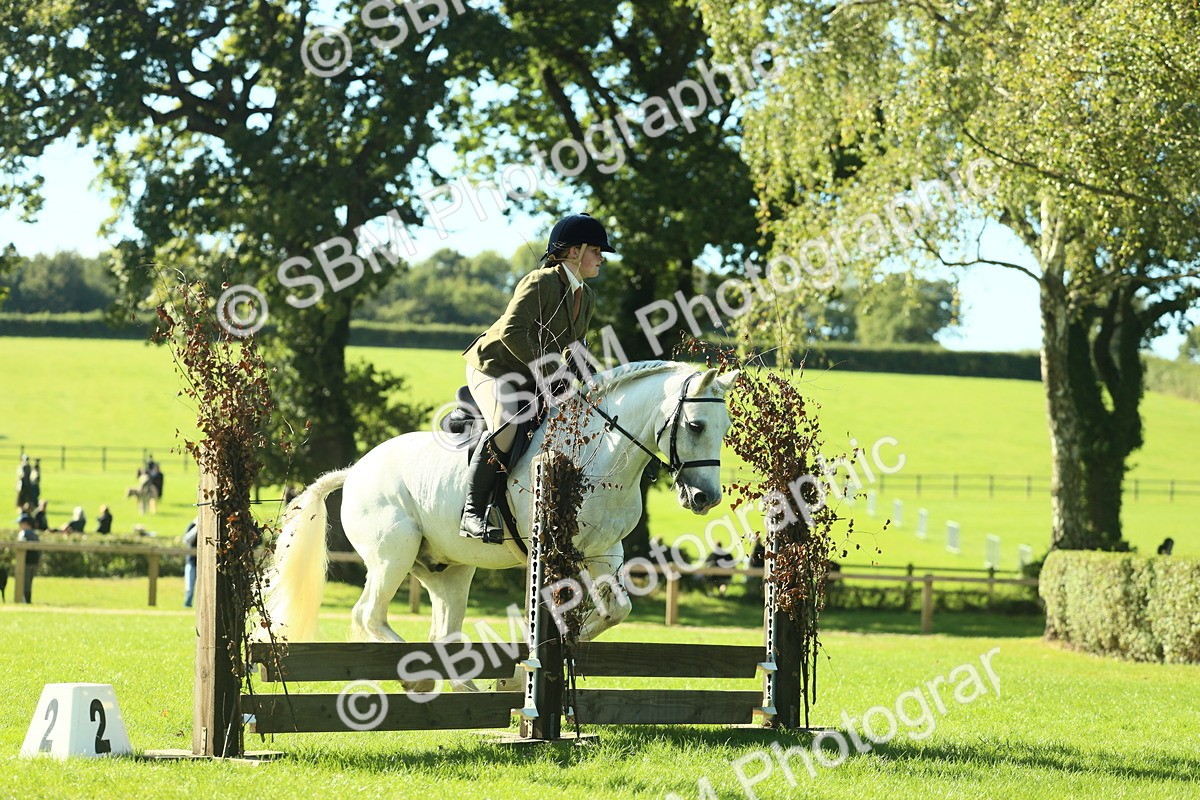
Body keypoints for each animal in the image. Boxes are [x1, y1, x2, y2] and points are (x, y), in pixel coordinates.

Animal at [263, 361, 738, 686]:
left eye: (725, 429)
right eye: (695, 425)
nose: (705, 498)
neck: (598, 451)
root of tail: (355, 470)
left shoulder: (606, 552)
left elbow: (615, 610)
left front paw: (554, 653)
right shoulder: (556, 549)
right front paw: (532, 668)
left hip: (448, 570)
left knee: (444, 633)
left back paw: (464, 688)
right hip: (391, 555)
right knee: (369, 615)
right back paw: (419, 680)